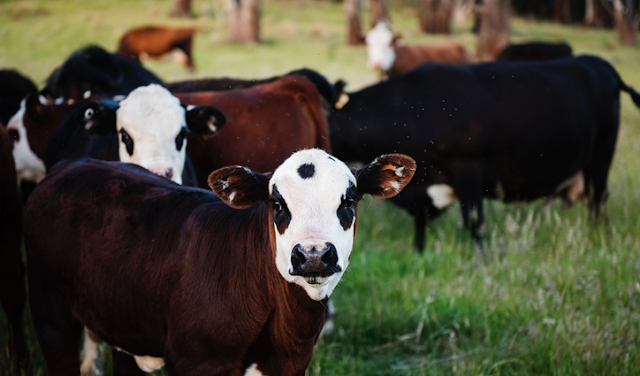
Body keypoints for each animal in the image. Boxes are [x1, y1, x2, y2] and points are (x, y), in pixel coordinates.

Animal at [23, 150, 416, 376]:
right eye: (277, 204)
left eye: (348, 200)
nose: (313, 254)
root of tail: (70, 165)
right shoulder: (197, 362)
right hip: (51, 316)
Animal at [330, 54, 640, 251]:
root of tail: (599, 63)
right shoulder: (421, 189)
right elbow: (421, 222)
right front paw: (419, 252)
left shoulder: (469, 170)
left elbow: (473, 223)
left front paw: (478, 259)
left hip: (601, 157)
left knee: (598, 201)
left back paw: (598, 238)